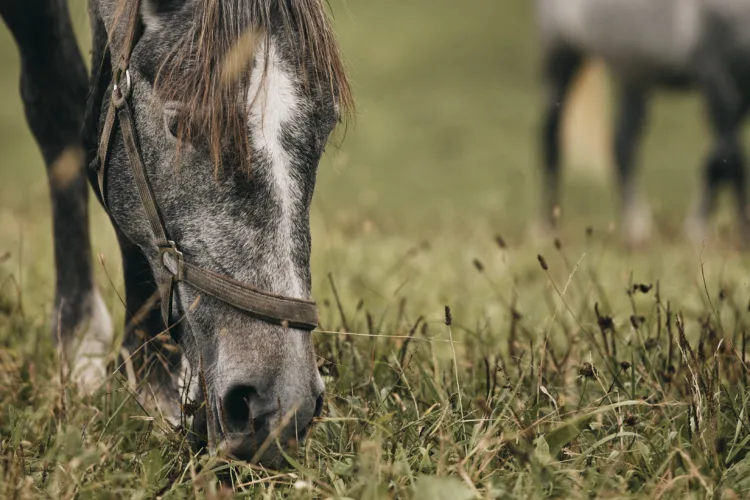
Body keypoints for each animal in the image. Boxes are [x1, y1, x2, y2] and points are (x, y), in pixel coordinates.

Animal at [0, 0, 352, 462]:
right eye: (179, 124)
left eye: (327, 125)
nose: (282, 408)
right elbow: (57, 96)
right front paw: (81, 337)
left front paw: (155, 375)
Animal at [536, 0, 750, 244]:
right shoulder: (712, 69)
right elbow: (731, 159)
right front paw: (735, 231)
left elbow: (720, 158)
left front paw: (706, 228)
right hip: (560, 56)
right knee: (550, 137)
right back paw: (547, 225)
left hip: (634, 74)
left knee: (623, 143)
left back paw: (637, 228)